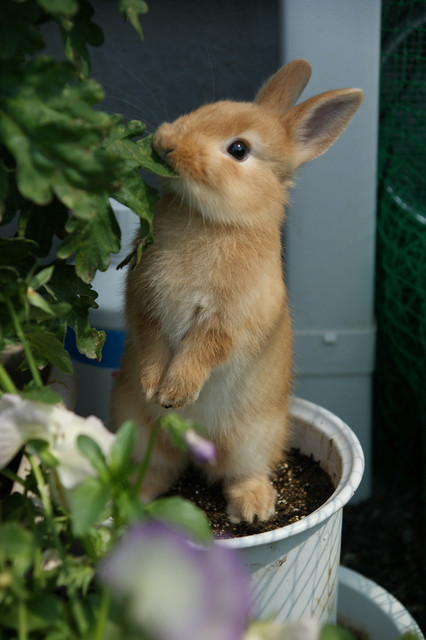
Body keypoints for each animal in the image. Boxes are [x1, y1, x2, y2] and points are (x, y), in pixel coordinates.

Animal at [110, 59, 363, 523]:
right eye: (206, 107)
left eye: (240, 150)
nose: (165, 144)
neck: (211, 220)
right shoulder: (144, 304)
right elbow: (152, 341)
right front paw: (154, 387)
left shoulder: (230, 320)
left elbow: (204, 350)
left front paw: (175, 392)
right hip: (134, 423)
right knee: (159, 469)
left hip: (252, 437)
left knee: (241, 472)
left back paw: (253, 509)